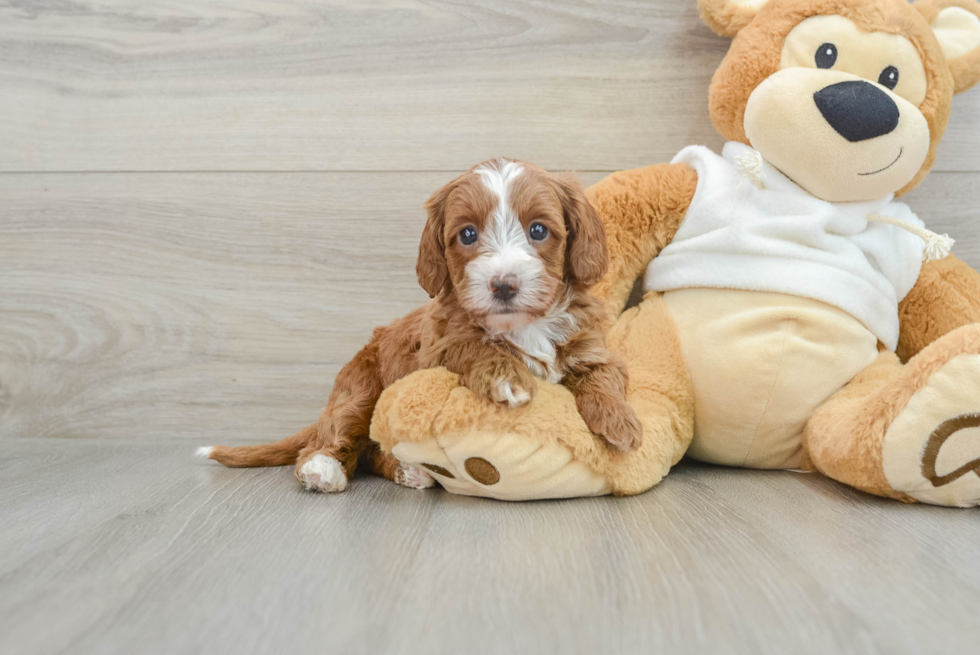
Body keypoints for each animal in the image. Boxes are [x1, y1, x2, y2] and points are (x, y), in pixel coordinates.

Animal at [200, 161, 644, 494]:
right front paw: (507, 377)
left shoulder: (590, 344)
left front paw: (620, 422)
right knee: (333, 435)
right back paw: (323, 469)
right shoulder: (436, 348)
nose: (503, 284)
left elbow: (605, 374)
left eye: (538, 229)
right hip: (359, 387)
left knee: (372, 453)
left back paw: (410, 471)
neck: (521, 326)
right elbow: (475, 346)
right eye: (468, 234)